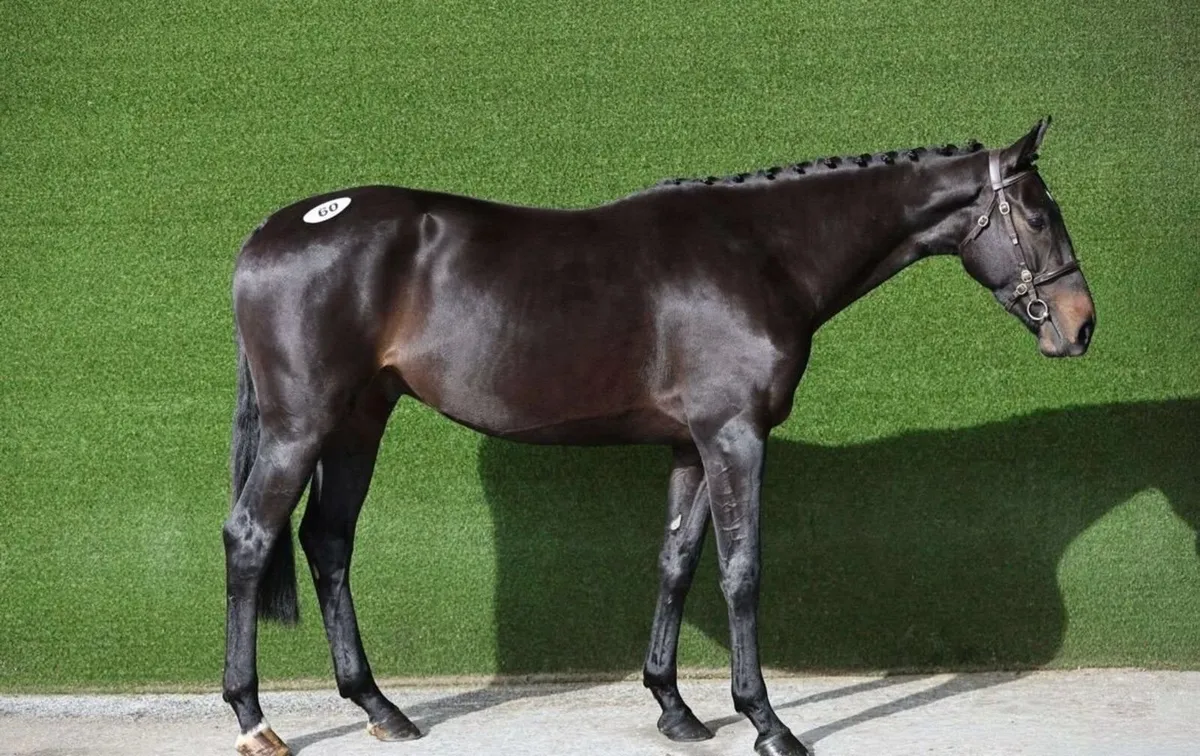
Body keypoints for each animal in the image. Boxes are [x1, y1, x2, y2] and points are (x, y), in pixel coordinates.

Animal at [222, 117, 1094, 756]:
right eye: (1038, 213)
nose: (1081, 325)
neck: (760, 254)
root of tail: (269, 232)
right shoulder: (735, 435)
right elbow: (742, 571)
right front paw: (767, 723)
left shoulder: (691, 444)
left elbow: (677, 562)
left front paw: (675, 709)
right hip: (302, 424)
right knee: (251, 536)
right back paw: (255, 720)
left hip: (359, 420)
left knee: (328, 542)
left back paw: (381, 707)